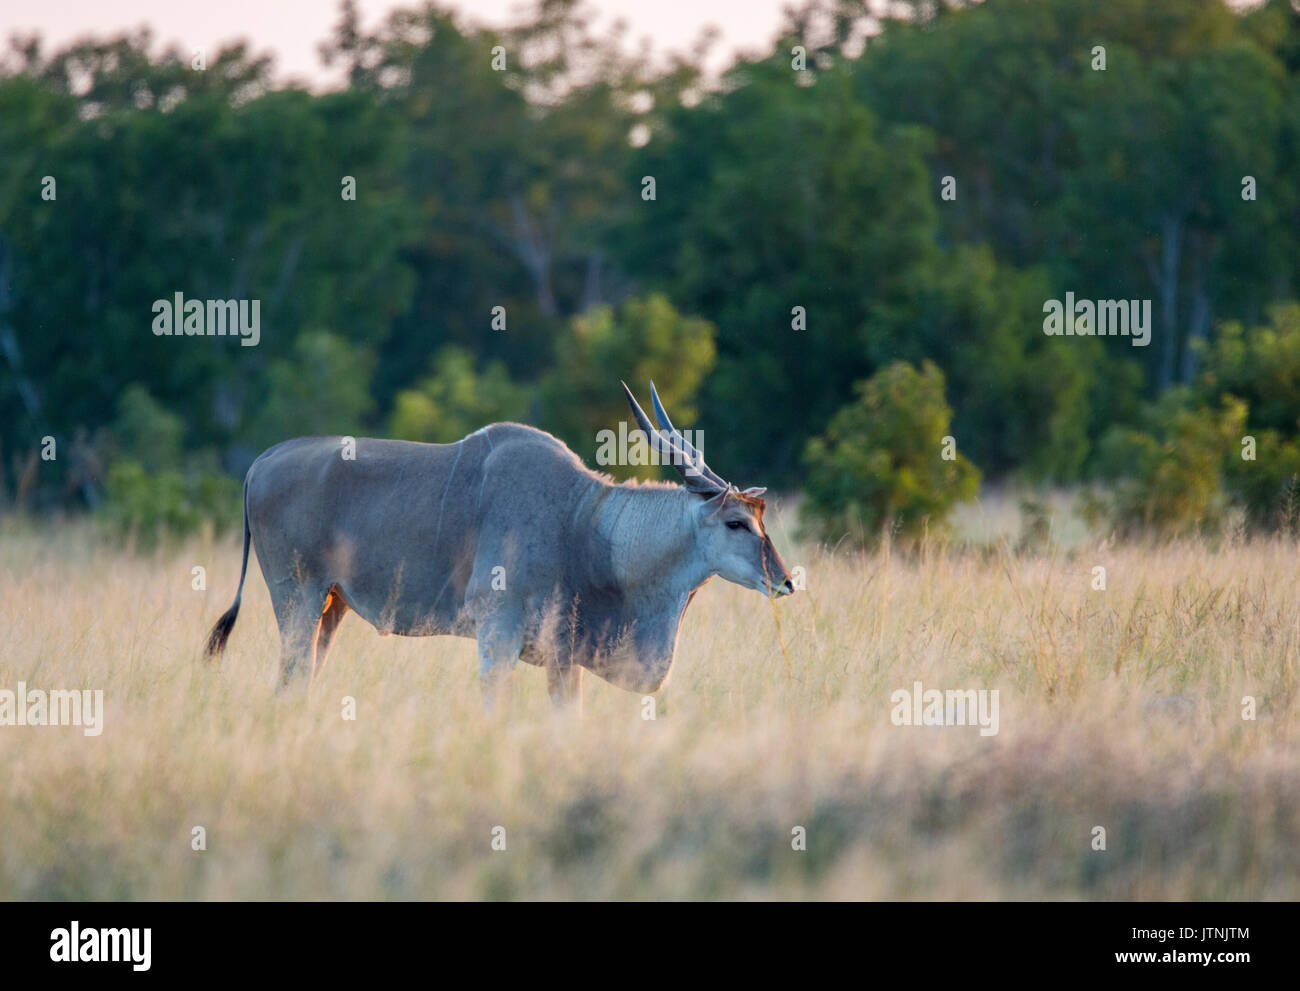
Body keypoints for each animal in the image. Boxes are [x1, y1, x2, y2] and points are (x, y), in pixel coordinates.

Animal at [202, 382, 790, 707]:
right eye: (737, 522)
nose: (785, 581)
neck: (584, 524)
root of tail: (260, 463)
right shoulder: (496, 640)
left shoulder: (563, 661)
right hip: (297, 599)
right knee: (290, 677)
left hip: (331, 606)